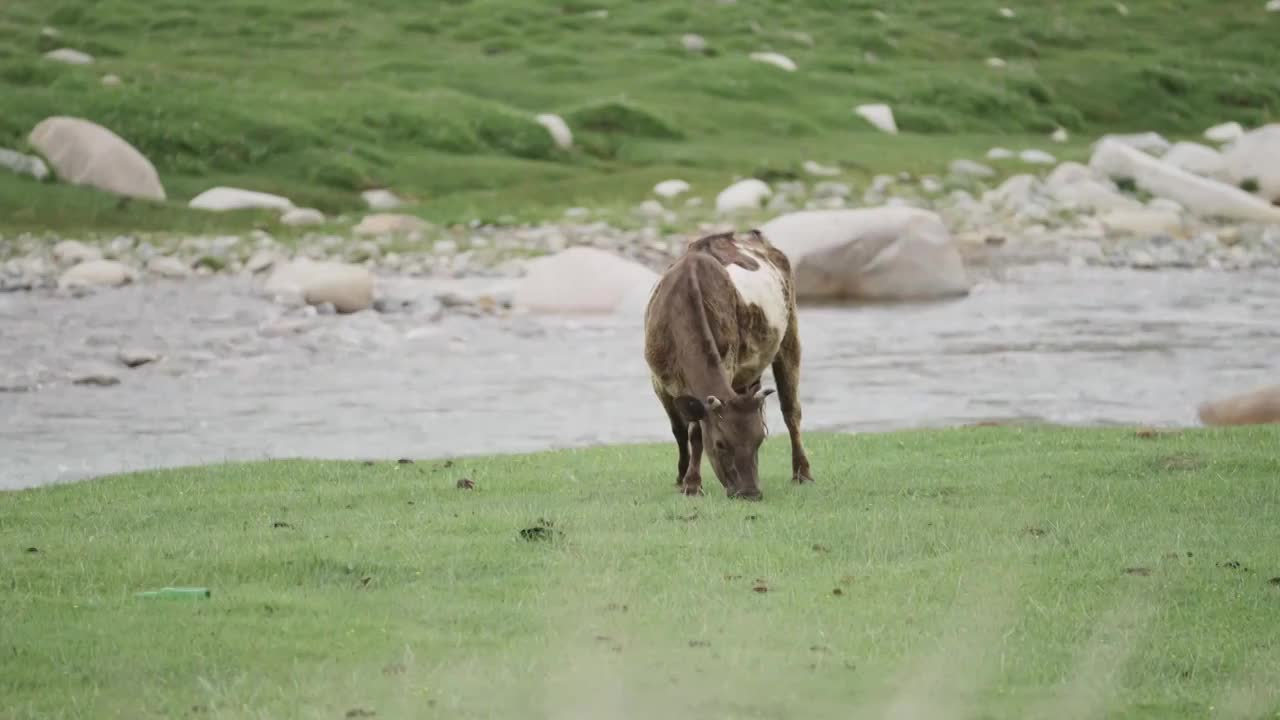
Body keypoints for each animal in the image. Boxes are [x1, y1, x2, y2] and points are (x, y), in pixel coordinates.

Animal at [645, 226, 814, 497]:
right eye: (721, 444)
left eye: (759, 441)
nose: (750, 493)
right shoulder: (659, 381)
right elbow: (680, 430)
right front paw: (683, 480)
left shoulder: (727, 363)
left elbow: (696, 431)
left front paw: (693, 483)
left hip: (789, 337)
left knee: (792, 411)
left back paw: (803, 472)